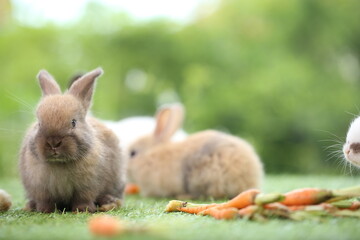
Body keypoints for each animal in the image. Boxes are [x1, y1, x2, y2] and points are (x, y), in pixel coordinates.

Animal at [20, 67, 126, 212]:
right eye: (39, 123)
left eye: (73, 122)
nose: (53, 143)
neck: (60, 163)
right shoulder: (40, 188)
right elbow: (45, 201)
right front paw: (45, 211)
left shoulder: (87, 186)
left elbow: (83, 198)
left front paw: (82, 210)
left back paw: (108, 201)